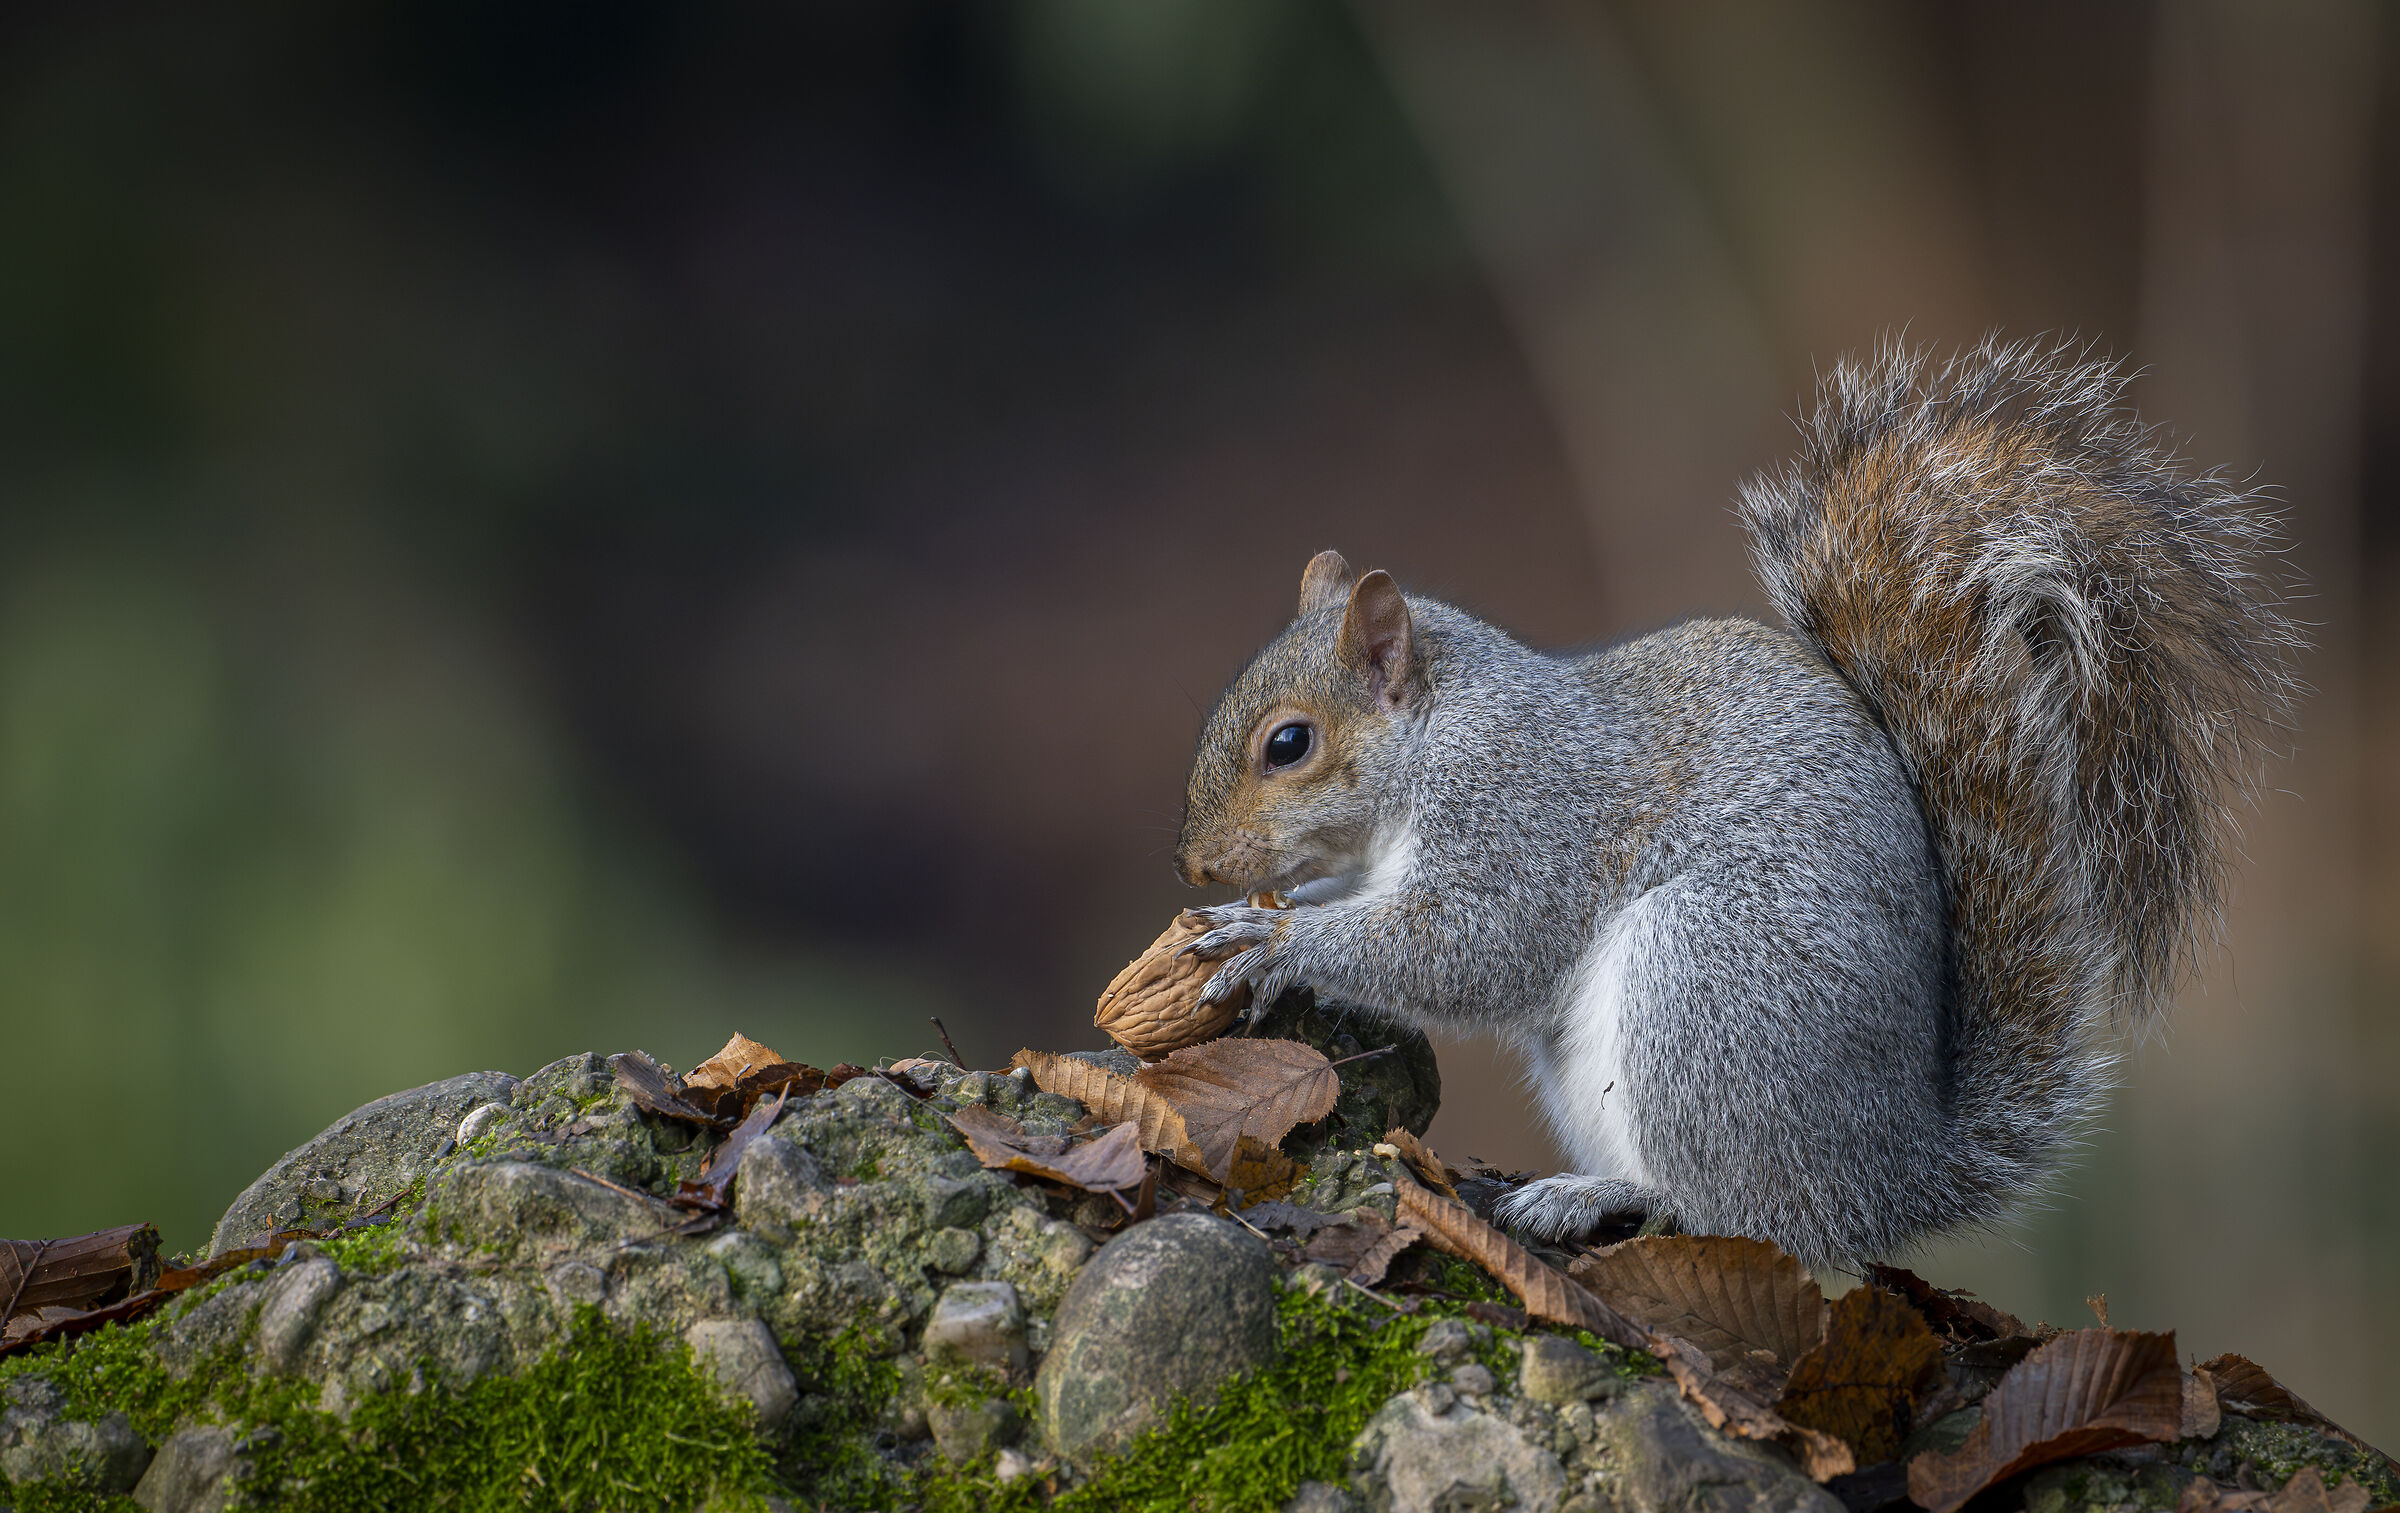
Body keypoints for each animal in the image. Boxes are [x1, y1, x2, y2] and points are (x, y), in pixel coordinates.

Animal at [1170, 338, 2303, 1266]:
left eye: (1288, 744)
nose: (1196, 863)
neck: (1437, 735)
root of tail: (1889, 1176)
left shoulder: (1520, 807)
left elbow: (1473, 944)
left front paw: (1275, 940)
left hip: (1705, 983)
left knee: (1748, 1217)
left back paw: (1602, 1196)